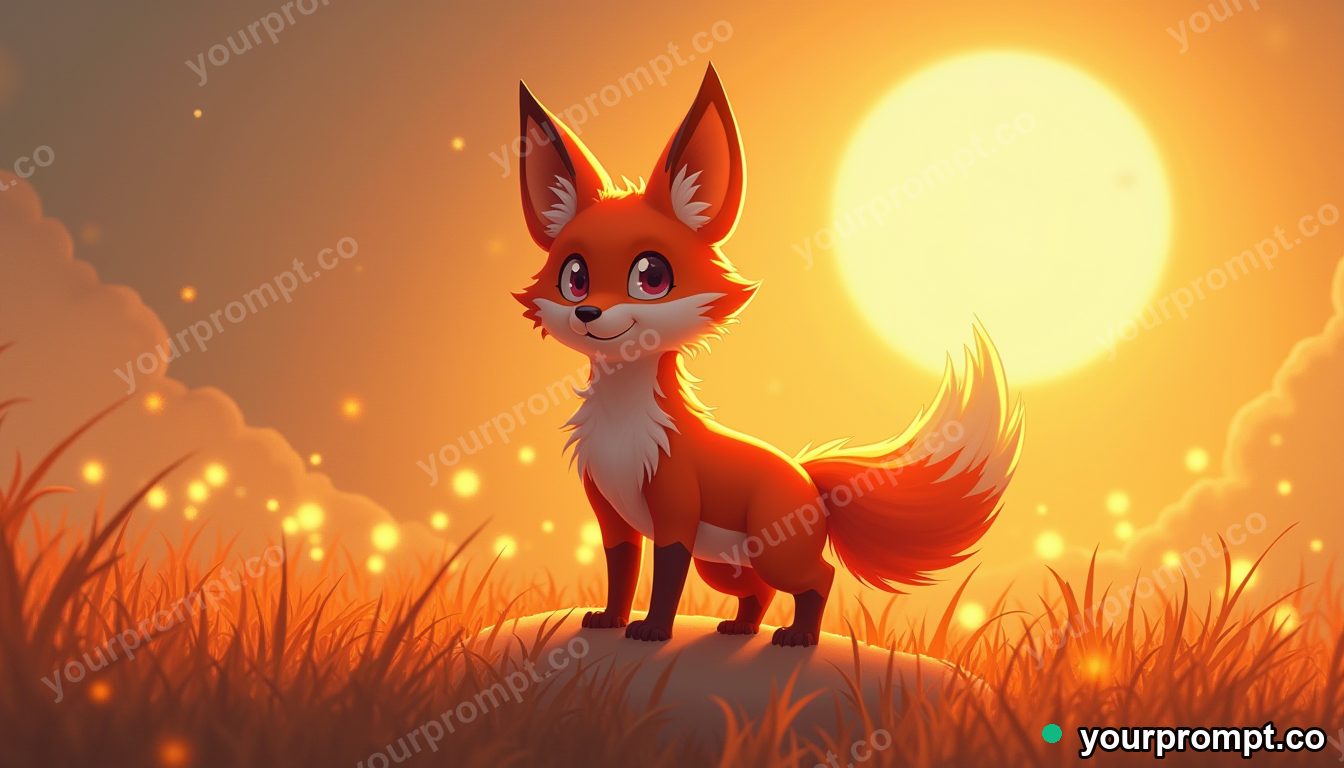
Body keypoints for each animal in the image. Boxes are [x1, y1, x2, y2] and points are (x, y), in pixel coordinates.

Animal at [513, 64, 1024, 647]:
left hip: (773, 551)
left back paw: (799, 636)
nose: (588, 313)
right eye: (574, 276)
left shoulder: (676, 514)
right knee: (758, 590)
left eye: (651, 276)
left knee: (818, 577)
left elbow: (665, 582)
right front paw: (611, 619)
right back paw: (740, 627)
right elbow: (621, 573)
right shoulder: (613, 517)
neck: (623, 427)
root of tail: (807, 478)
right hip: (723, 562)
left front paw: (654, 630)